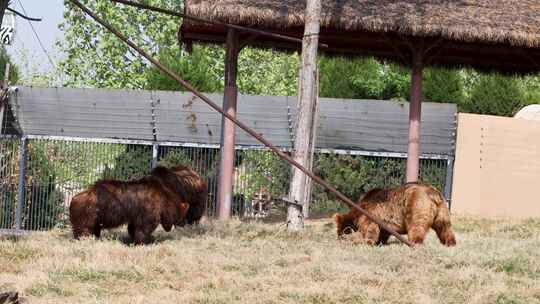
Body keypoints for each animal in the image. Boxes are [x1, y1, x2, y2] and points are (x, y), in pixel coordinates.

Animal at [69, 165, 207, 243]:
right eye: (179, 216)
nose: (183, 223)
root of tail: (73, 199)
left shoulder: (137, 213)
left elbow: (134, 226)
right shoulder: (148, 209)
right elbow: (144, 227)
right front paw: (144, 240)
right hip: (88, 213)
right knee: (84, 229)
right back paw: (84, 239)